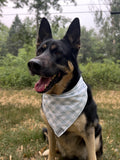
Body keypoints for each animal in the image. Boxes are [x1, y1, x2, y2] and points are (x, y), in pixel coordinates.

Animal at [27, 17, 102, 160]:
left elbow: (92, 156)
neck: (61, 94)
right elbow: (51, 152)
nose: (32, 64)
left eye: (57, 52)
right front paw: (48, 153)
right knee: (55, 150)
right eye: (39, 51)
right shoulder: (50, 129)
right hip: (45, 130)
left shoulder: (89, 132)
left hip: (97, 132)